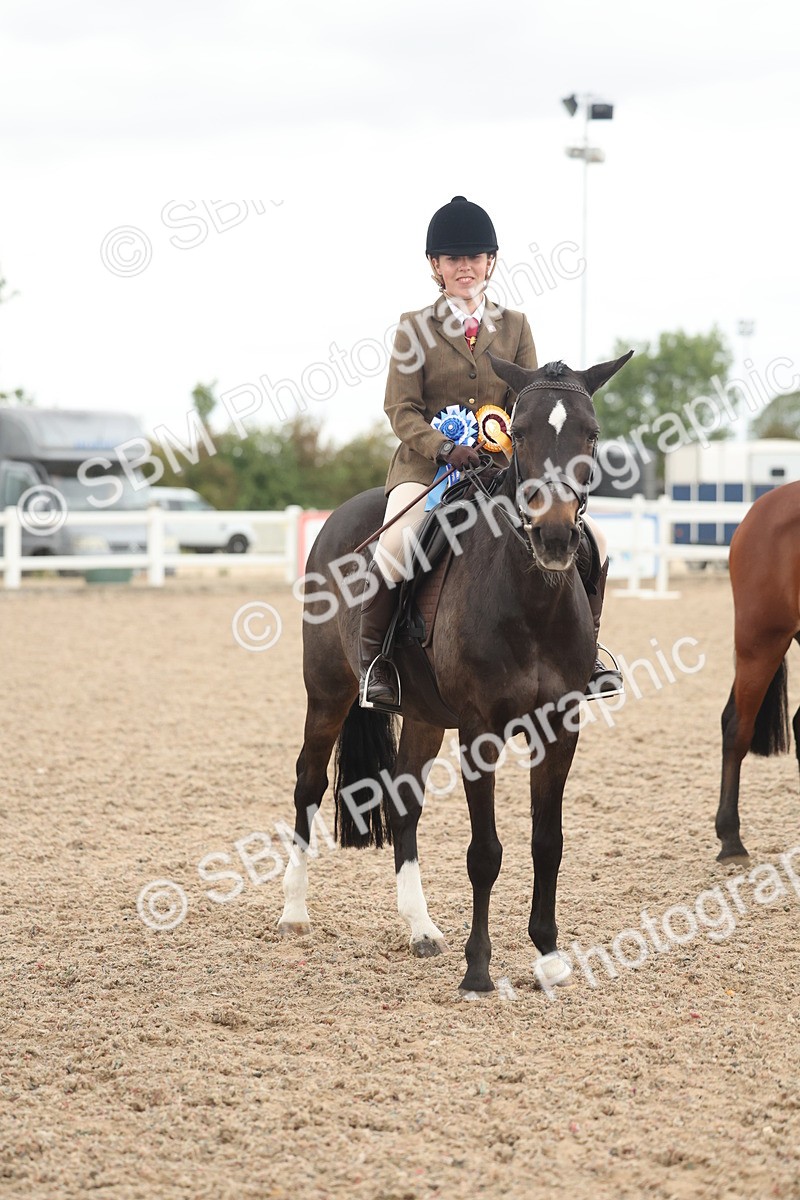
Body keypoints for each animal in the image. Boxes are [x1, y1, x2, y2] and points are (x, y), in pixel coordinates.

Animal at [278, 350, 633, 993]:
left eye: (590, 434)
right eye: (521, 432)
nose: (555, 537)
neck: (530, 598)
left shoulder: (561, 727)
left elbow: (548, 842)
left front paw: (548, 955)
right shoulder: (479, 731)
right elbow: (485, 852)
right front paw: (478, 969)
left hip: (423, 715)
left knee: (404, 800)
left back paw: (420, 928)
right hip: (328, 692)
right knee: (308, 783)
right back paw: (294, 912)